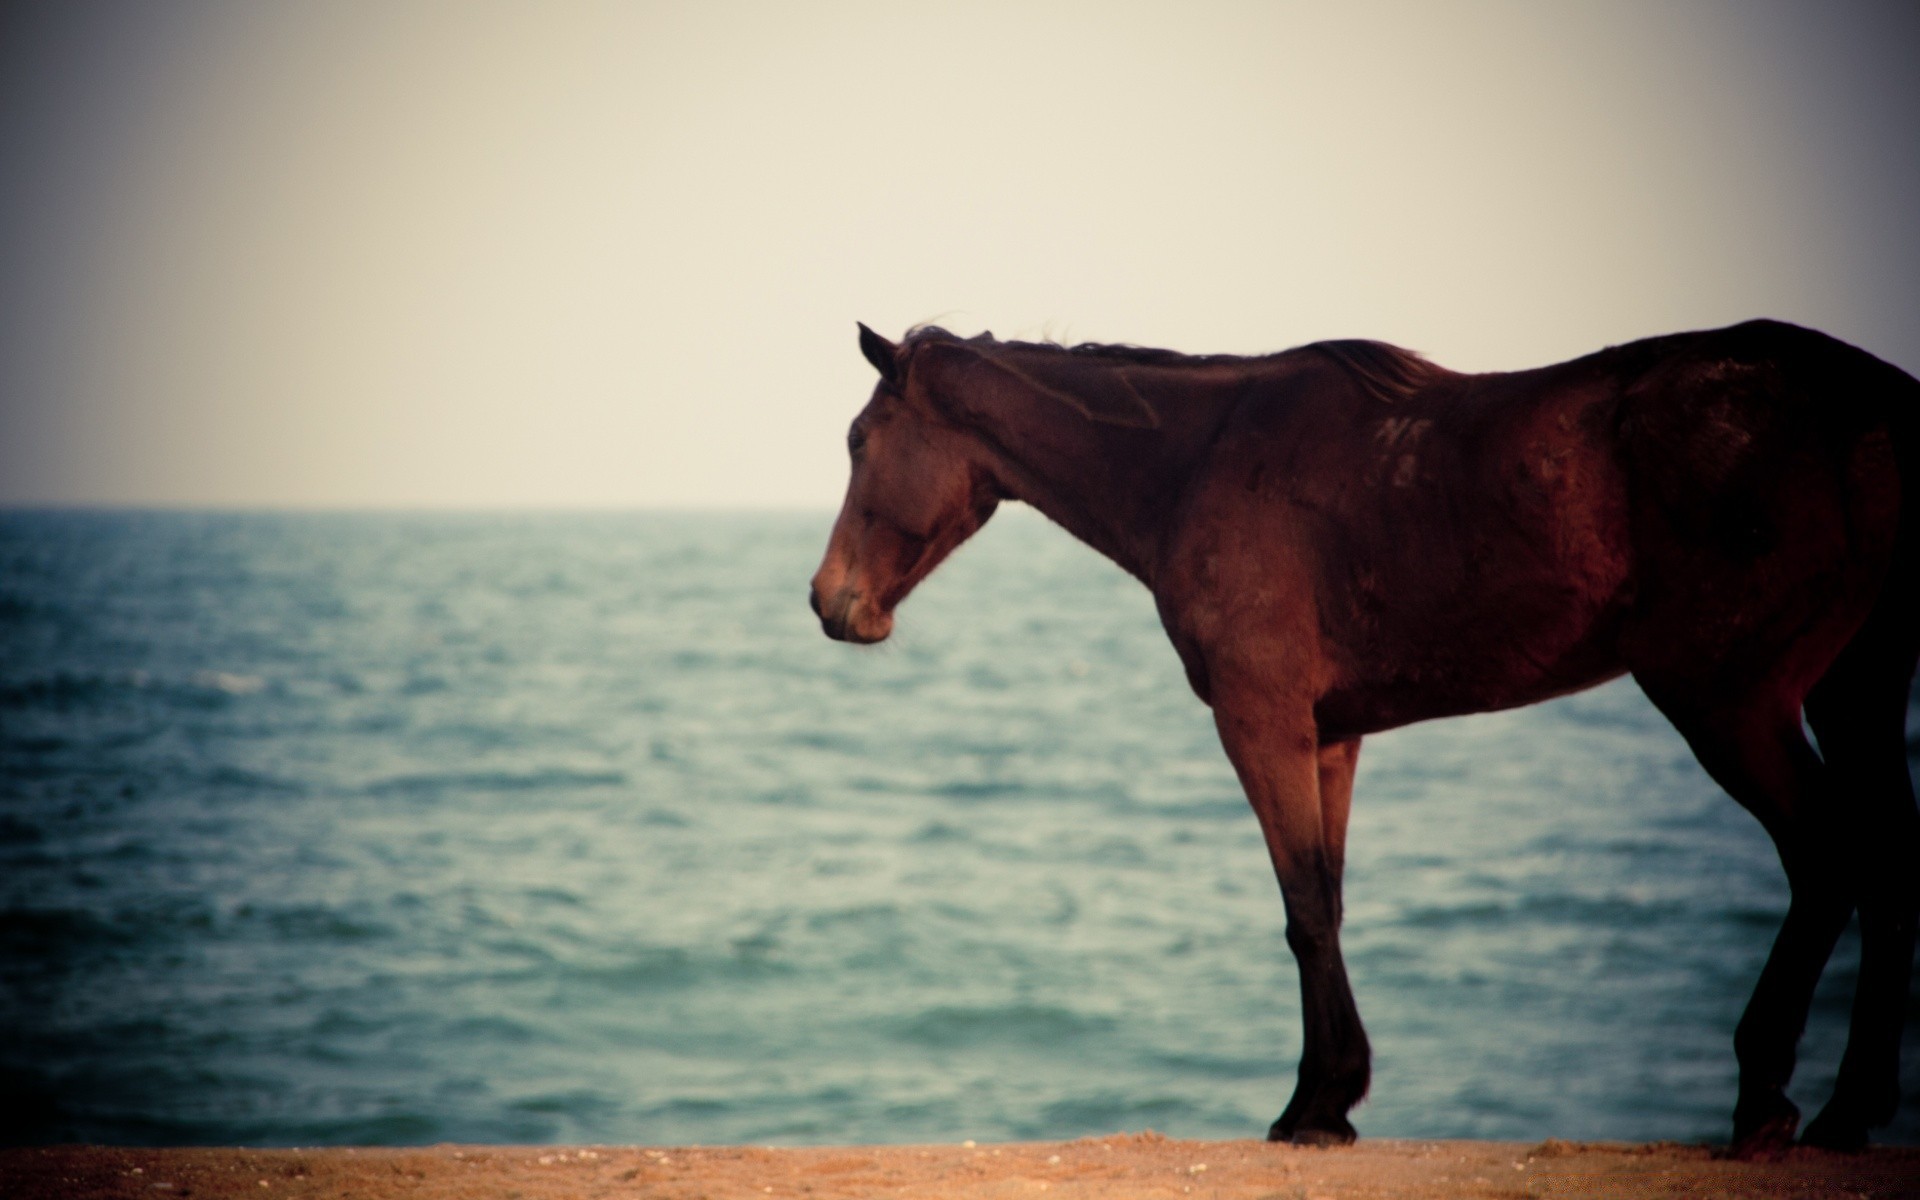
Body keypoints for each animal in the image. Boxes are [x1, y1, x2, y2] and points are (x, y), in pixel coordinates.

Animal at [802, 316, 1912, 1152]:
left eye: (858, 441)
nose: (828, 602)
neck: (1196, 458)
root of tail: (1874, 405)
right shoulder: (1330, 736)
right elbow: (1327, 898)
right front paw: (1332, 1094)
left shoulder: (1261, 720)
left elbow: (1302, 908)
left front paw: (1315, 1105)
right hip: (1852, 688)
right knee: (1880, 856)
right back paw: (1849, 1111)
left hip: (1730, 699)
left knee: (1827, 855)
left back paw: (1764, 1099)